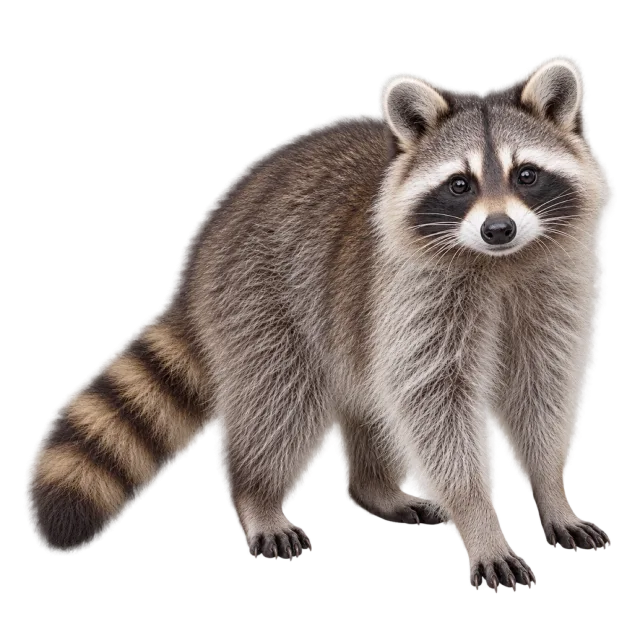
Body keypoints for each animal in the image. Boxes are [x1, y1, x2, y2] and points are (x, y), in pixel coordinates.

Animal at [25, 55, 613, 589]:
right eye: (459, 185)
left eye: (526, 175)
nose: (498, 229)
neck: (498, 264)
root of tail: (203, 259)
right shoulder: (414, 291)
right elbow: (434, 403)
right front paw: (480, 522)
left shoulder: (548, 286)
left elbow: (539, 388)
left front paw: (551, 489)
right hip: (263, 301)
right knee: (282, 404)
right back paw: (257, 494)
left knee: (365, 398)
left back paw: (374, 487)